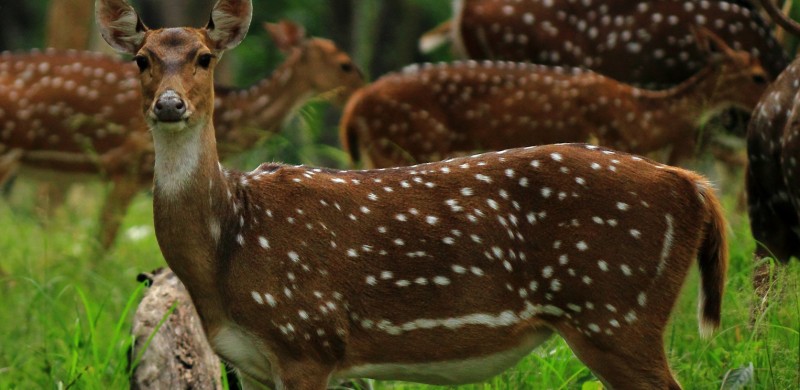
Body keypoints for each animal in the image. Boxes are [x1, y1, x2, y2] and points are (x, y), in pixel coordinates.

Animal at [342, 29, 768, 170]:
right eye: (758, 75)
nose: (769, 95)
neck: (642, 114)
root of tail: (353, 108)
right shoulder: (607, 138)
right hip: (407, 142)